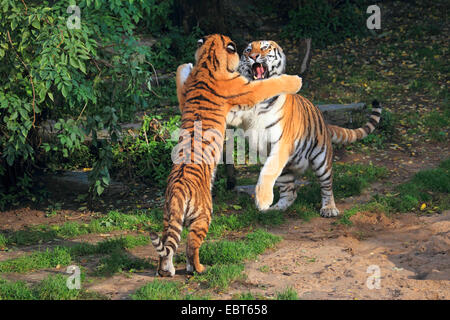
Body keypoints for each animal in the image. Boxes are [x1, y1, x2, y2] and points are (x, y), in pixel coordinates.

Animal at [150, 33, 302, 276]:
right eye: (244, 50)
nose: (251, 55)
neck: (208, 62)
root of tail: (179, 189)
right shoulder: (247, 88)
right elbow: (269, 84)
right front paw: (296, 80)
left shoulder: (184, 95)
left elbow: (180, 71)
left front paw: (186, 64)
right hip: (203, 215)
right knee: (191, 245)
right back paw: (198, 268)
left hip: (168, 215)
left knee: (167, 245)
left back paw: (166, 270)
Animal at [178, 39, 382, 218]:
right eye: (248, 50)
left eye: (265, 47)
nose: (253, 56)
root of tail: (324, 122)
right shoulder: (234, 113)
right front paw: (186, 69)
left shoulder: (282, 142)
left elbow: (267, 172)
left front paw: (261, 199)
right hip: (285, 172)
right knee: (290, 193)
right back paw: (274, 209)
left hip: (321, 159)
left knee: (327, 186)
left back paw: (329, 208)